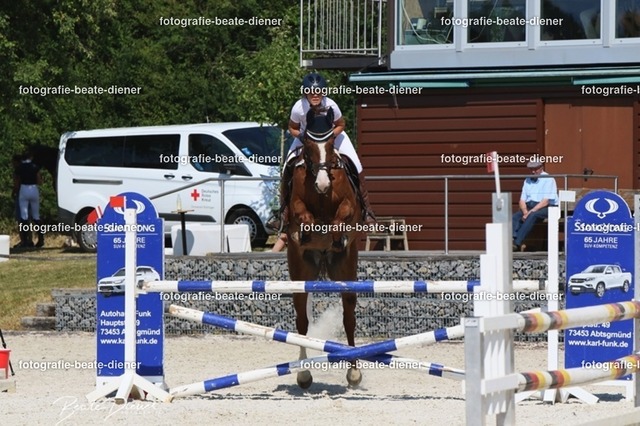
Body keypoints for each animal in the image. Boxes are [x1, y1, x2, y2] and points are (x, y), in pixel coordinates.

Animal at [286, 108, 363, 389]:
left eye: (330, 145)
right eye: (308, 146)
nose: (322, 184)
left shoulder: (348, 205)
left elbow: (342, 215)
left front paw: (337, 235)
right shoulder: (296, 205)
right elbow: (303, 215)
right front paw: (309, 230)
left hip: (346, 268)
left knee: (349, 318)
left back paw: (354, 372)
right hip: (300, 271)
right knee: (301, 322)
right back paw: (304, 374)